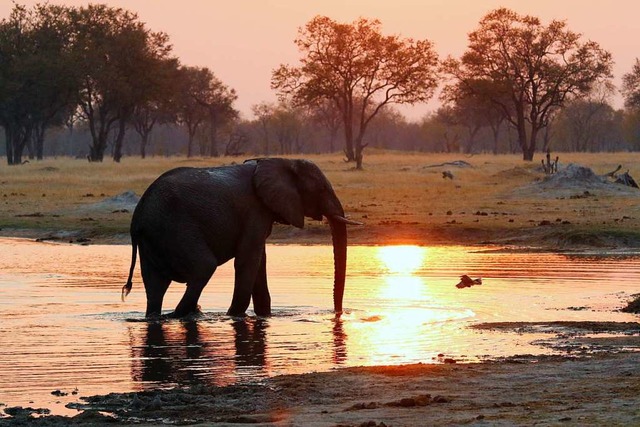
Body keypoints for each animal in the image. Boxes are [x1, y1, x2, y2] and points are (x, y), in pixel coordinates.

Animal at [121, 157, 360, 318]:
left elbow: (259, 261)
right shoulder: (255, 210)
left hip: (154, 238)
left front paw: (264, 316)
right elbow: (248, 260)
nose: (338, 313)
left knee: (155, 287)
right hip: (175, 229)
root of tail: (137, 216)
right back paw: (183, 315)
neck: (281, 161)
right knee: (203, 267)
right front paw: (235, 316)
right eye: (322, 189)